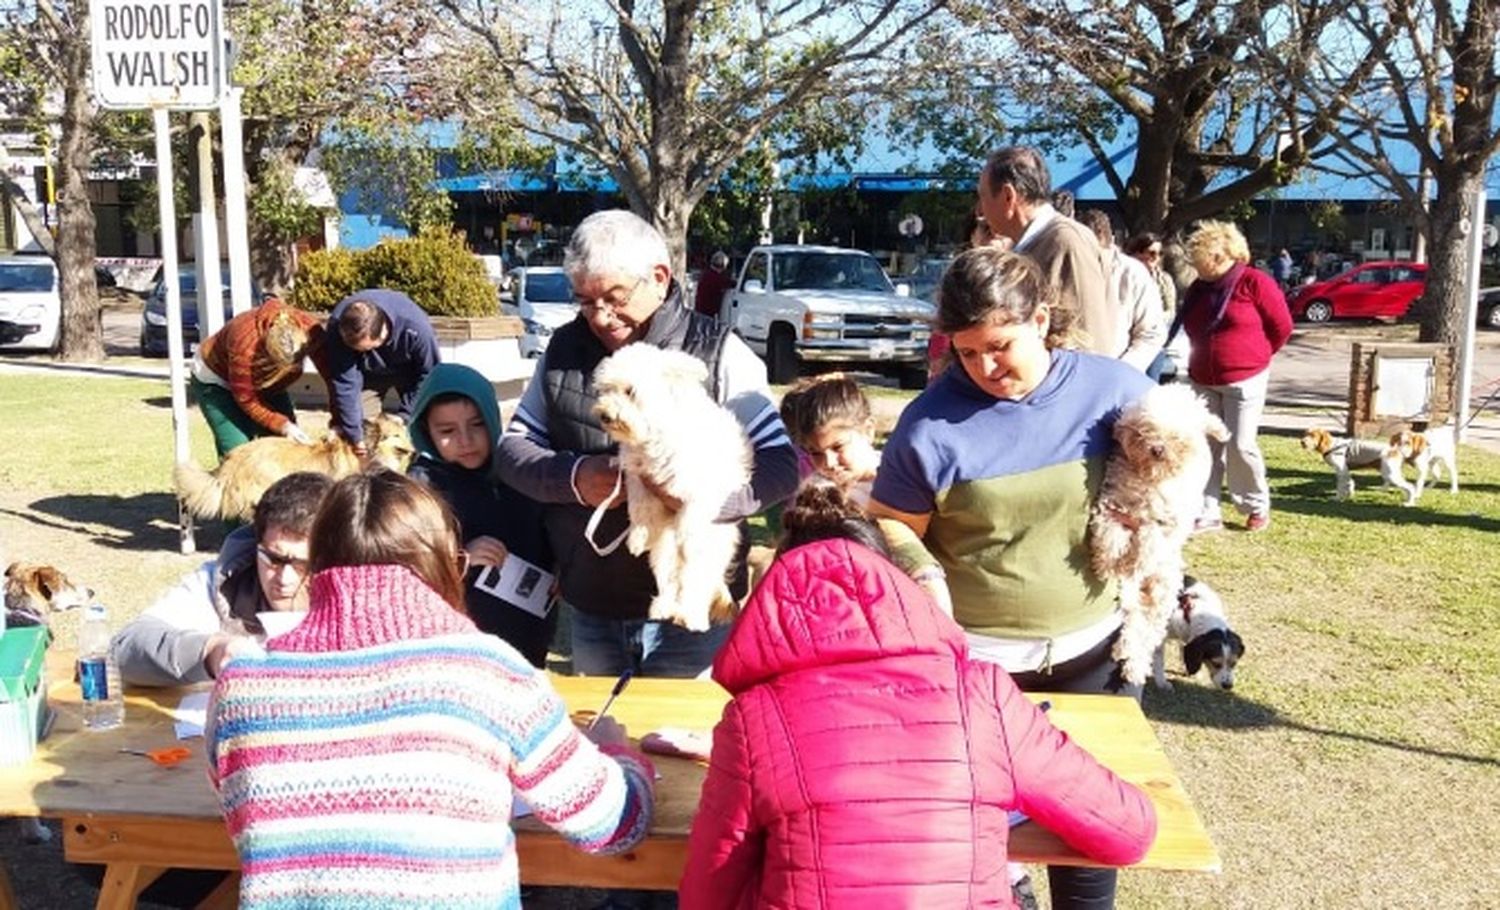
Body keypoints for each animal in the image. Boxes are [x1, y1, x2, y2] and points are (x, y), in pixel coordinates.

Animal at [585, 343, 750, 632]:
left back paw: (692, 618)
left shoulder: (701, 491)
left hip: (708, 560)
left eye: (630, 391)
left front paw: (685, 537)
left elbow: (691, 521)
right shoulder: (637, 476)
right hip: (663, 556)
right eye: (605, 390)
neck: (654, 433)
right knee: (670, 581)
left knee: (696, 587)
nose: (604, 414)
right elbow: (639, 507)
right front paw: (637, 538)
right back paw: (664, 607)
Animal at [1092, 380, 1230, 686]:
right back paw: (1126, 654)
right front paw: (1110, 557)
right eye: (1145, 427)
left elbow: (1150, 537)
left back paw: (1134, 666)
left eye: (1177, 435)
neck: (1150, 480)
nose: (1157, 448)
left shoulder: (1169, 520)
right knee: (1134, 625)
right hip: (1131, 596)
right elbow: (1110, 531)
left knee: (1149, 633)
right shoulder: (1112, 502)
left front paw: (1138, 556)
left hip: (1164, 593)